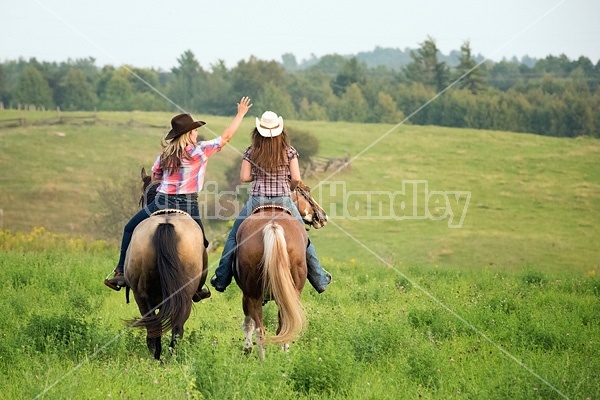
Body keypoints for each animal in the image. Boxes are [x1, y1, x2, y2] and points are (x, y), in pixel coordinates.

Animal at [234, 183, 328, 360]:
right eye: (307, 190)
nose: (323, 216)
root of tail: (273, 225)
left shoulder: (246, 295)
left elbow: (248, 323)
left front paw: (247, 349)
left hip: (253, 293)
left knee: (262, 328)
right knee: (282, 326)